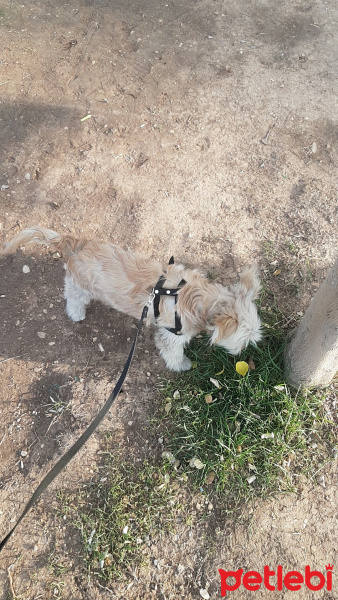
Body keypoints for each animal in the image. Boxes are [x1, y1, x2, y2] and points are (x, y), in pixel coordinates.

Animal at [0, 226, 262, 370]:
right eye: (244, 339)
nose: (243, 353)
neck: (194, 297)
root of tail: (77, 244)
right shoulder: (170, 337)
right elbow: (173, 354)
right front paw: (182, 366)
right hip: (79, 287)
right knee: (72, 298)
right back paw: (76, 314)